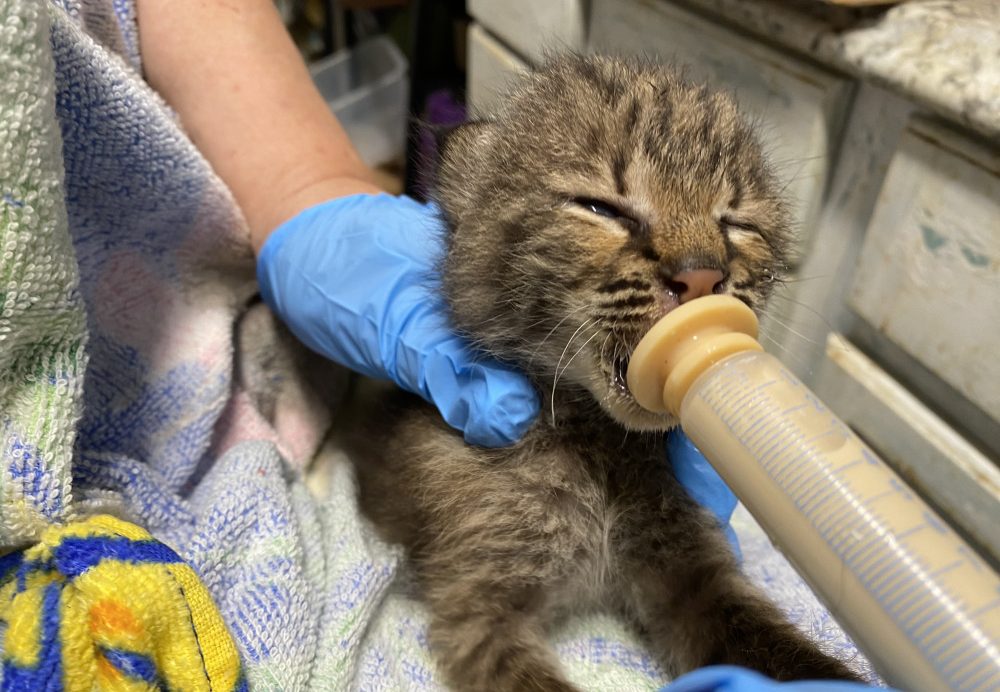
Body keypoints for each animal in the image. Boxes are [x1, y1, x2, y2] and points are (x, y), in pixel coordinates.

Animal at [352, 56, 860, 688]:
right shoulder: (474, 603)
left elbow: (773, 644)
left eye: (736, 224)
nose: (702, 275)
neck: (600, 445)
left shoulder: (692, 565)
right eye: (602, 209)